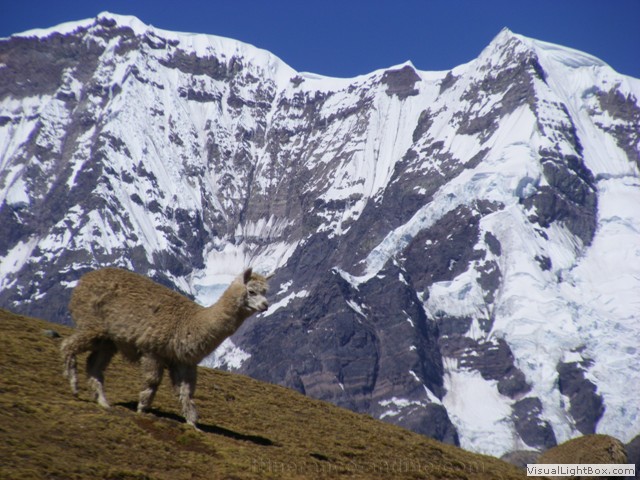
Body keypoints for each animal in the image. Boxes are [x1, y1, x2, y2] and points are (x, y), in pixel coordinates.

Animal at [61, 267, 269, 427]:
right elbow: (152, 381)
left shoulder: (183, 362)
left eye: (266, 291)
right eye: (252, 291)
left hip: (108, 340)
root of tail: (84, 279)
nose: (265, 305)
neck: (190, 322)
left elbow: (186, 393)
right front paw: (142, 409)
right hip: (92, 322)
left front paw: (193, 423)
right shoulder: (152, 351)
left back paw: (103, 402)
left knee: (94, 365)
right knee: (67, 345)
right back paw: (74, 386)